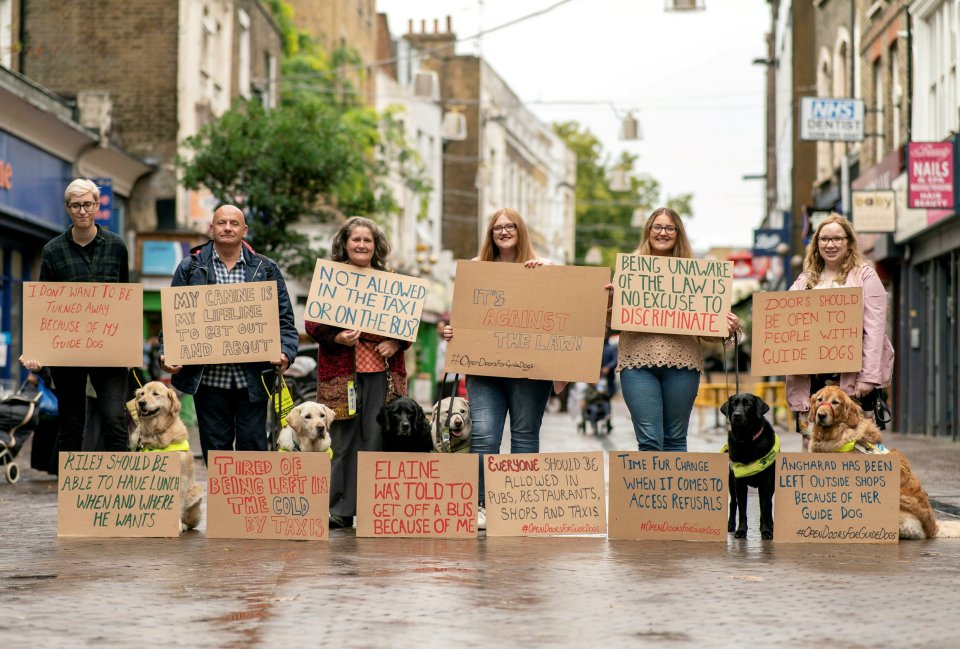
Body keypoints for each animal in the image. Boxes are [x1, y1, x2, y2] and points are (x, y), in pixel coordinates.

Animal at [128, 382, 202, 528]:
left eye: (156, 394)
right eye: (142, 394)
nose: (141, 402)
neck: (155, 433)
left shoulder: (180, 478)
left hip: (196, 490)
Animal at [720, 392, 780, 540]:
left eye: (748, 404)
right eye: (733, 404)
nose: (736, 415)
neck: (747, 440)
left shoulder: (766, 483)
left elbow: (764, 508)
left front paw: (766, 530)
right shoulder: (739, 483)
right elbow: (742, 510)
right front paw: (741, 530)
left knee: (769, 504)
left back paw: (771, 525)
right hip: (731, 481)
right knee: (733, 502)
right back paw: (730, 525)